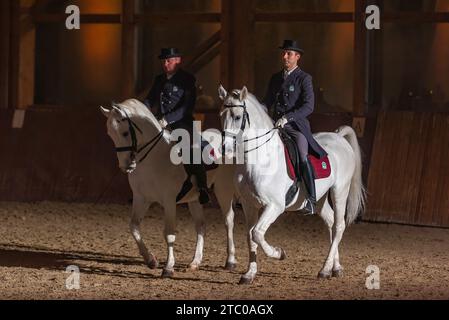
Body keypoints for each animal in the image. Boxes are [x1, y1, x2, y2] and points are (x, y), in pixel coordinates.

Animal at [100, 99, 236, 278]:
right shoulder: (141, 198)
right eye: (110, 134)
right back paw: (195, 262)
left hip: (223, 189)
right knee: (201, 225)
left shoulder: (169, 201)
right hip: (195, 198)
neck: (155, 158)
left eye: (124, 133)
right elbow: (134, 226)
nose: (126, 165)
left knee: (228, 221)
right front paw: (151, 260)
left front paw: (168, 267)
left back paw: (230, 261)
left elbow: (169, 234)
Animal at [219, 86, 366, 284]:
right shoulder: (249, 205)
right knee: (330, 222)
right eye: (221, 115)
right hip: (319, 199)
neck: (261, 159)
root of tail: (339, 137)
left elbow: (257, 233)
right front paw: (249, 274)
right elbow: (251, 237)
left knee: (338, 226)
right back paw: (335, 268)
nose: (224, 148)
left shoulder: (275, 206)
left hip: (340, 191)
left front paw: (279, 253)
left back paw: (324, 269)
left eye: (236, 116)